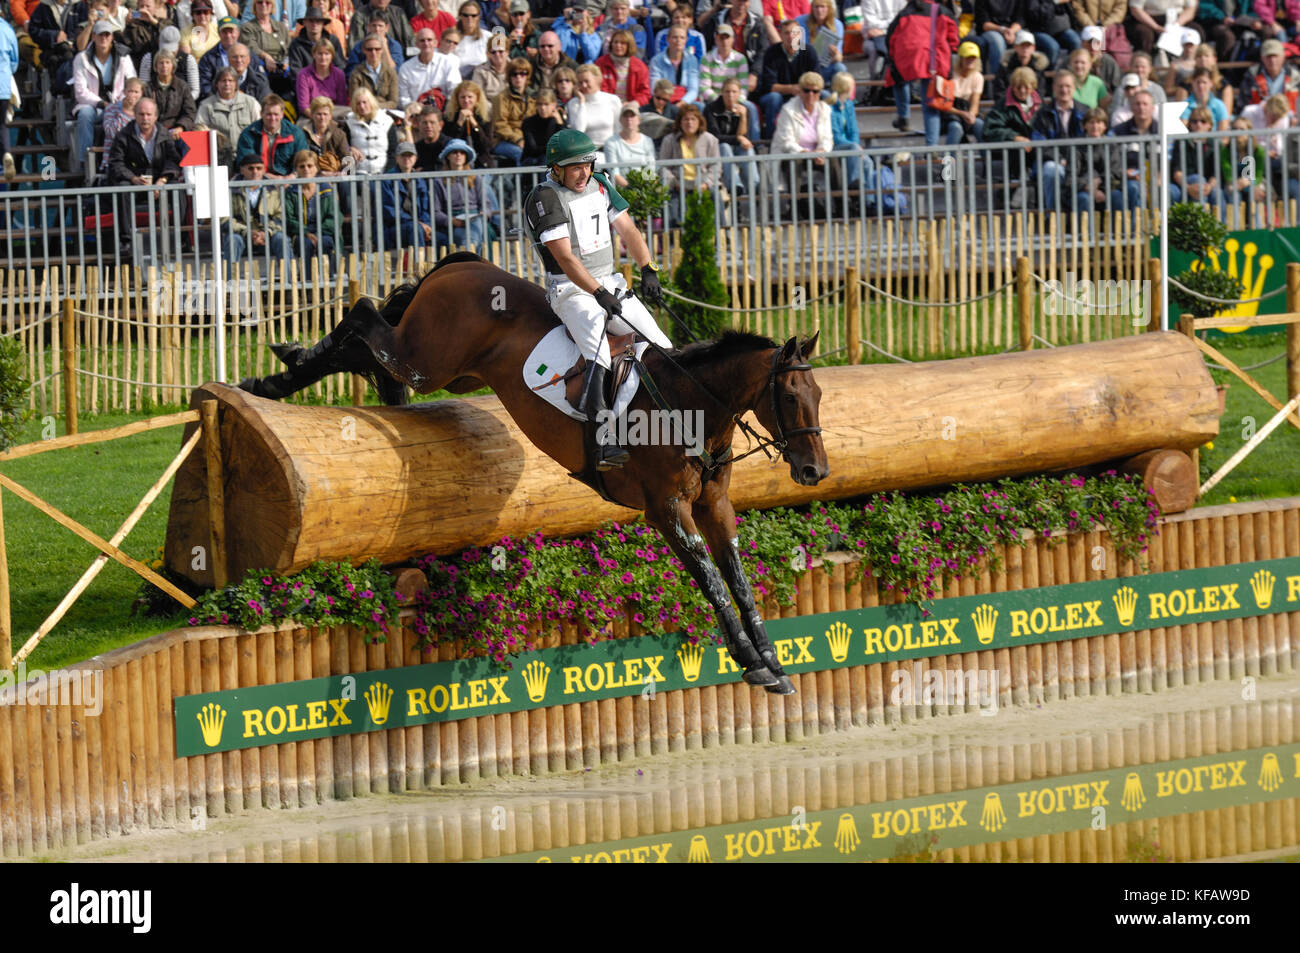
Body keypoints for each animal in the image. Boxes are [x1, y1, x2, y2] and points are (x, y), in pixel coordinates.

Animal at [241, 252, 832, 696]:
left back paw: (296, 377)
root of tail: (468, 264)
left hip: (452, 371)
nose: (814, 470)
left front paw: (771, 660)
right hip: (430, 358)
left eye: (820, 396)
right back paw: (281, 368)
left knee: (369, 344)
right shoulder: (668, 510)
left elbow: (737, 577)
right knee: (367, 318)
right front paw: (751, 662)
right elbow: (710, 578)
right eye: (789, 397)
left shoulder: (713, 505)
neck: (690, 405)